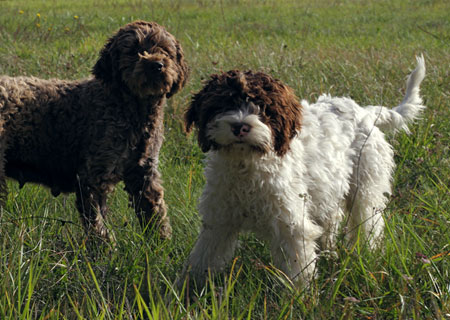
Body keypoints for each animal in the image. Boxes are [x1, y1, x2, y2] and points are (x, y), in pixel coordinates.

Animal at [0, 19, 188, 240]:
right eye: (133, 50)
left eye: (165, 50)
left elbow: (156, 216)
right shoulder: (92, 179)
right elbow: (99, 229)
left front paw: (161, 245)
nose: (156, 65)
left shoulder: (144, 174)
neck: (131, 109)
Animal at [179, 55, 426, 288]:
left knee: (367, 225)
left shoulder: (291, 224)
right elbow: (203, 257)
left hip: (365, 189)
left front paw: (300, 297)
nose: (240, 127)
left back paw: (364, 254)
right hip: (329, 190)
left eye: (264, 109)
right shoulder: (218, 220)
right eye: (222, 104)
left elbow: (298, 267)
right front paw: (188, 289)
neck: (246, 166)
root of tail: (365, 112)